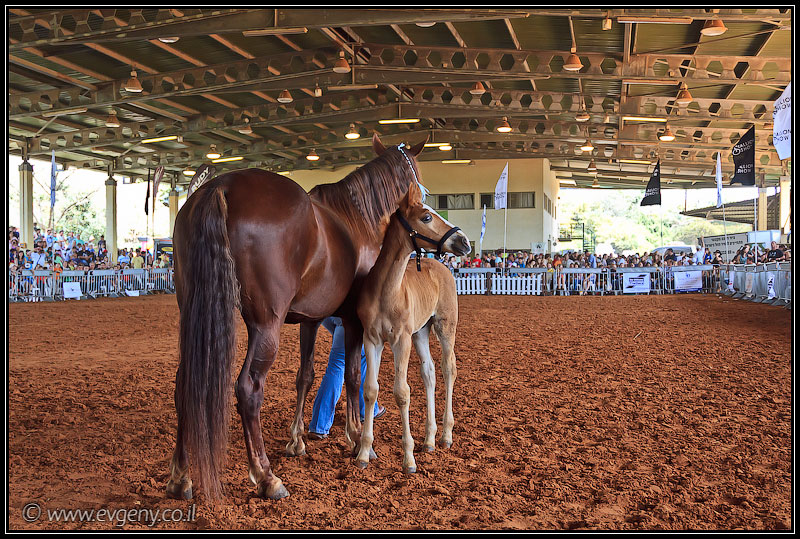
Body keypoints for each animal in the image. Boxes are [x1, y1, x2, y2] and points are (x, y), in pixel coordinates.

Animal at [167, 134, 427, 501]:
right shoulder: (354, 321)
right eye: (415, 171)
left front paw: (297, 440)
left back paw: (181, 476)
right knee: (248, 388)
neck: (355, 219)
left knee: (184, 385)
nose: (424, 202)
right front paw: (356, 436)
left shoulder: (310, 319)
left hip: (193, 312)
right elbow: (352, 375)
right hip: (265, 325)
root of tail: (220, 186)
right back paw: (266, 476)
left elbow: (305, 375)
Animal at [355, 181, 471, 473]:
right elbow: (370, 390)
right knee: (429, 372)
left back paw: (445, 435)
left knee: (448, 368)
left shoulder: (401, 340)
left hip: (444, 326)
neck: (387, 292)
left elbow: (402, 392)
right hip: (421, 332)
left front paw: (408, 458)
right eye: (427, 217)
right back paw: (429, 439)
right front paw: (363, 454)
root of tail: (441, 266)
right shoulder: (371, 339)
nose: (464, 242)